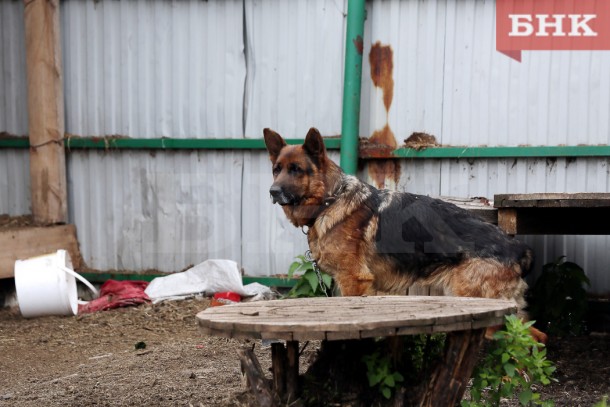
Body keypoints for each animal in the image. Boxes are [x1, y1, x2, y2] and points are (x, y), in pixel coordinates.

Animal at [264, 127, 544, 344]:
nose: (272, 191)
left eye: (296, 169)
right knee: (536, 337)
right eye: (276, 169)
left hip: (479, 303)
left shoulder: (353, 279)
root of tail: (518, 248)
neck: (330, 200)